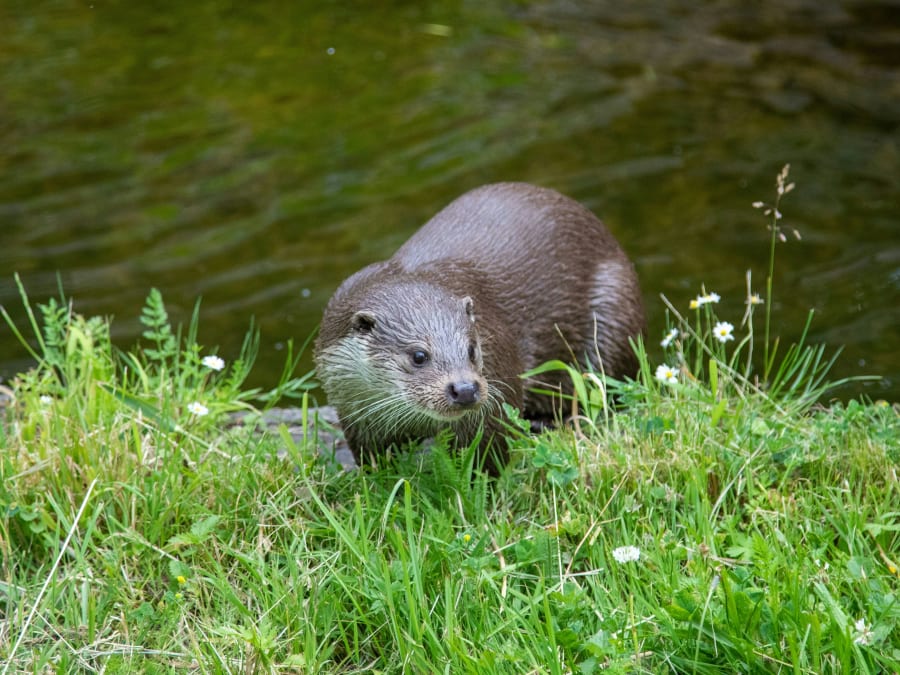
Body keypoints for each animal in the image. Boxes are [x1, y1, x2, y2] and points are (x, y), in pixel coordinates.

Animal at [312, 182, 644, 472]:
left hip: (613, 312)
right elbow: (371, 457)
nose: (465, 388)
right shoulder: (353, 408)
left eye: (472, 349)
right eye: (418, 356)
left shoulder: (498, 377)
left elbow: (490, 455)